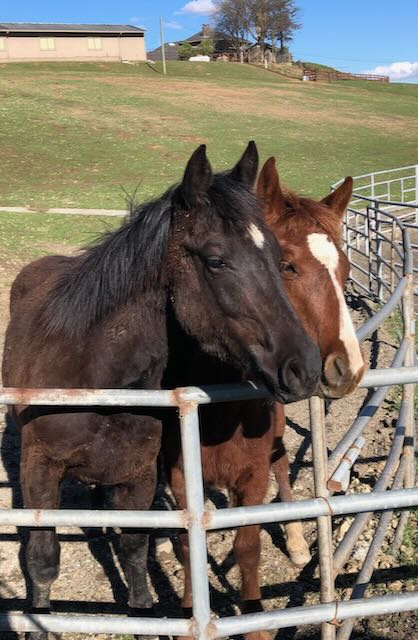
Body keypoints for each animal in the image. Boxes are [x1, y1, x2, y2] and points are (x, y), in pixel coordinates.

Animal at [1, 142, 320, 636]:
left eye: (276, 258)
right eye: (215, 260)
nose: (305, 367)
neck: (98, 383)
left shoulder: (138, 476)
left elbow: (134, 551)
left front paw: (141, 615)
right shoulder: (40, 471)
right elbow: (42, 558)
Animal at [162, 158, 364, 636]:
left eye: (346, 269)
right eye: (287, 266)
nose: (348, 369)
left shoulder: (252, 478)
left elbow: (248, 544)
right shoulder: (179, 478)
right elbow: (187, 543)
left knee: (283, 465)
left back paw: (295, 540)